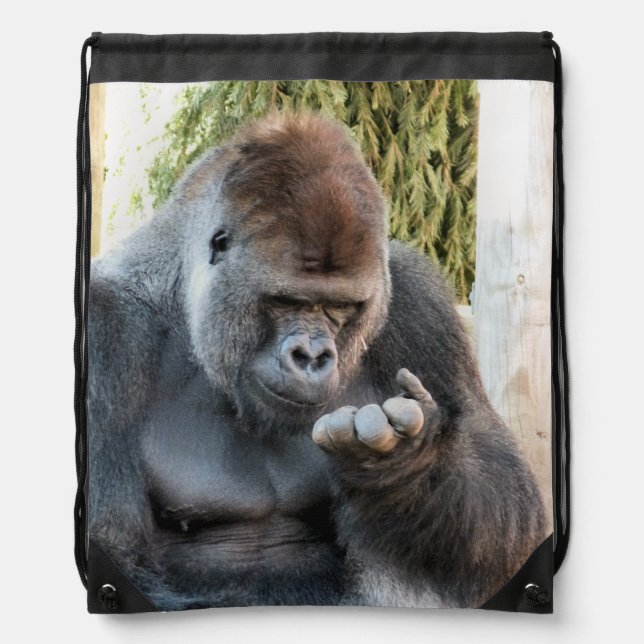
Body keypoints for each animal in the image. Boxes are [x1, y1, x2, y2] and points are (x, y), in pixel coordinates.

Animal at [87, 112, 547, 611]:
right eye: (286, 301)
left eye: (339, 307)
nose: (311, 356)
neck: (185, 302)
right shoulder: (104, 331)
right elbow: (114, 551)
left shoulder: (418, 303)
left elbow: (509, 526)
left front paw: (404, 466)